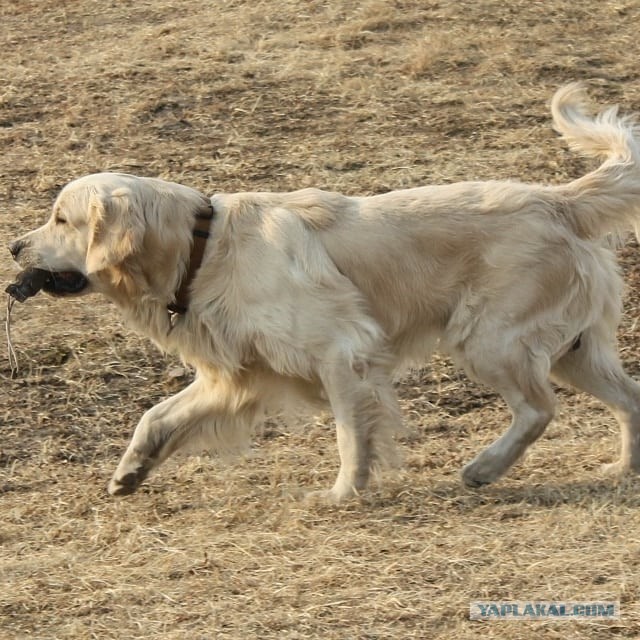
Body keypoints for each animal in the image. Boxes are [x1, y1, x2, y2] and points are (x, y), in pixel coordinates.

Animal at [7, 84, 640, 500]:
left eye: (61, 220)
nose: (13, 247)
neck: (206, 249)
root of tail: (556, 199)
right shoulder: (235, 375)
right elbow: (156, 415)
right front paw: (131, 471)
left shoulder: (343, 350)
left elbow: (348, 432)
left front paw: (342, 493)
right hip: (572, 348)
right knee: (629, 399)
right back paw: (622, 471)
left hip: (490, 340)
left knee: (538, 409)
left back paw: (484, 468)